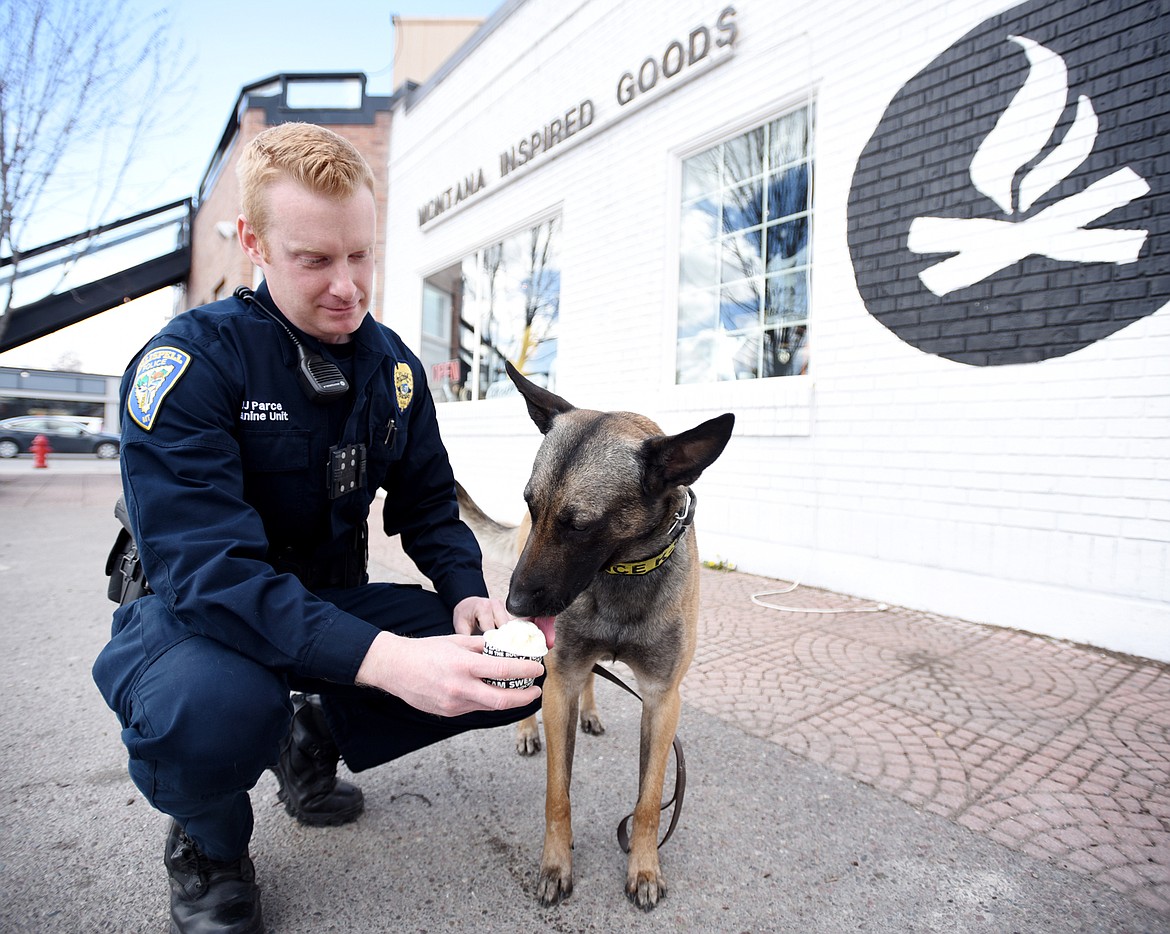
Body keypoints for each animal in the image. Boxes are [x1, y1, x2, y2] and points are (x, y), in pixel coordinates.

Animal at [456, 362, 730, 912]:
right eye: (530, 504)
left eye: (579, 525)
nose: (515, 606)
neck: (624, 570)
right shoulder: (560, 678)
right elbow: (557, 795)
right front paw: (555, 865)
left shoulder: (662, 701)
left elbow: (648, 801)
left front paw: (644, 868)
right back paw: (527, 730)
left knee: (590, 681)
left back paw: (590, 712)